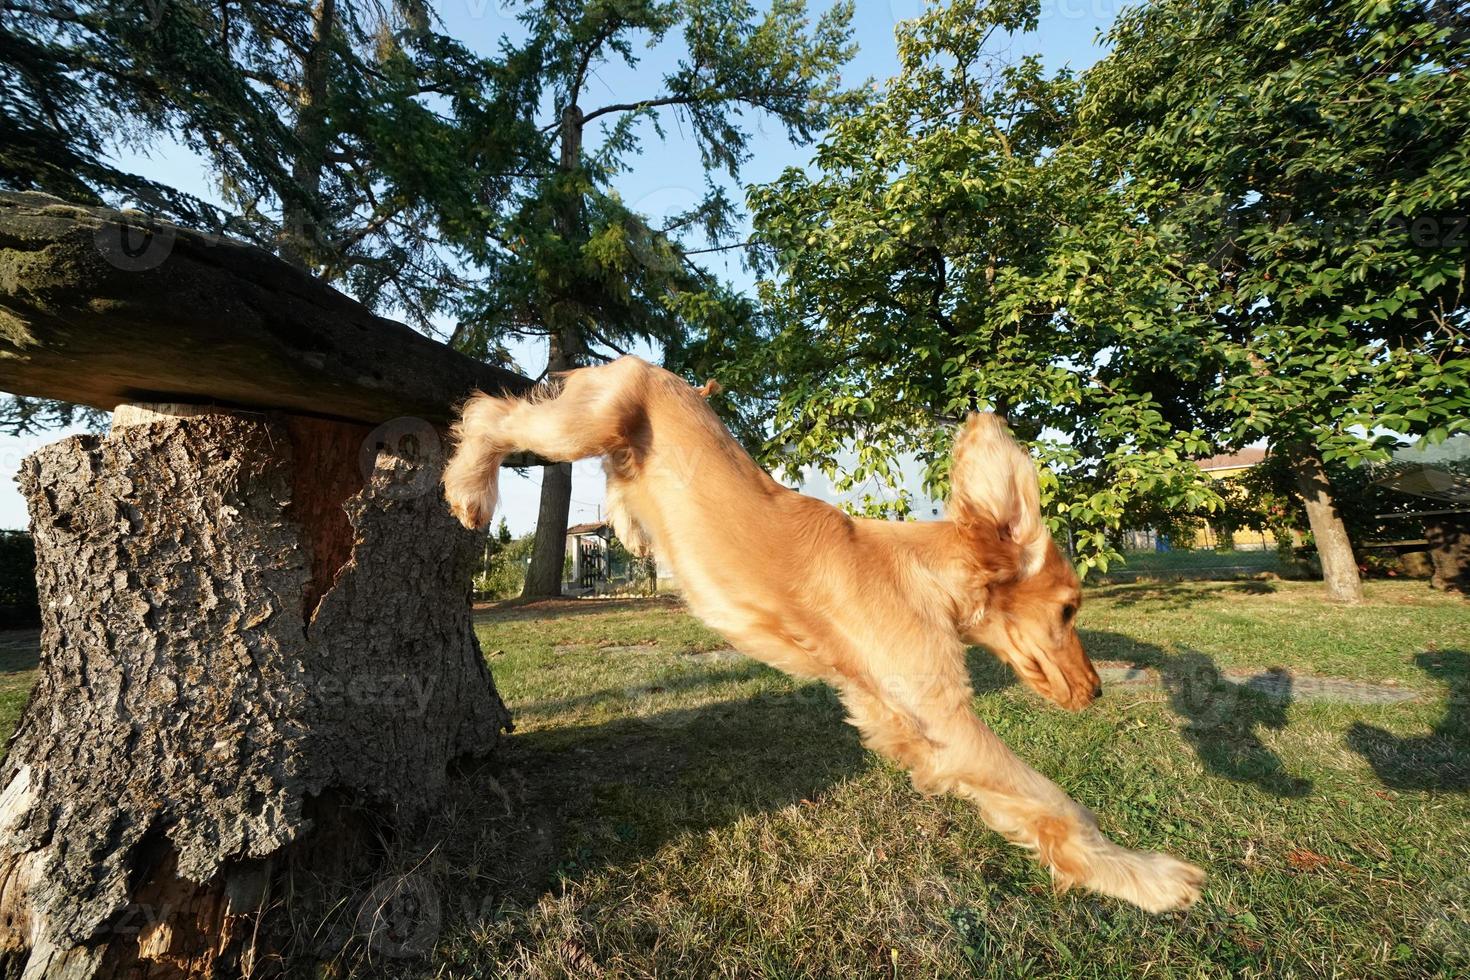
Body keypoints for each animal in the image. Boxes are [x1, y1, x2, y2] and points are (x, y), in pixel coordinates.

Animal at [441, 357, 1199, 916]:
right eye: (1070, 609)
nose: (1095, 691)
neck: (920, 579)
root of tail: (651, 365)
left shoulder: (900, 723)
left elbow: (1024, 806)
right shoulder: (946, 720)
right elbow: (1058, 802)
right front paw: (1150, 877)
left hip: (619, 443)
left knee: (609, 475)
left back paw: (628, 528)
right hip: (582, 420)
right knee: (489, 414)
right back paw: (471, 487)